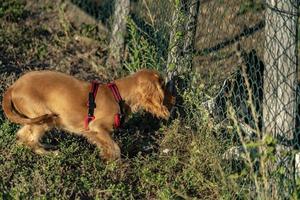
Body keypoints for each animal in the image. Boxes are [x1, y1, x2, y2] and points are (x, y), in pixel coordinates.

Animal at [2, 69, 175, 161]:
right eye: (163, 86)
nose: (174, 98)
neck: (118, 95)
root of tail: (13, 87)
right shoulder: (97, 126)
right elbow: (116, 147)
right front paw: (113, 162)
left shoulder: (92, 131)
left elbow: (105, 144)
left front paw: (106, 156)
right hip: (44, 117)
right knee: (30, 140)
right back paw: (52, 154)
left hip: (38, 120)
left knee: (22, 136)